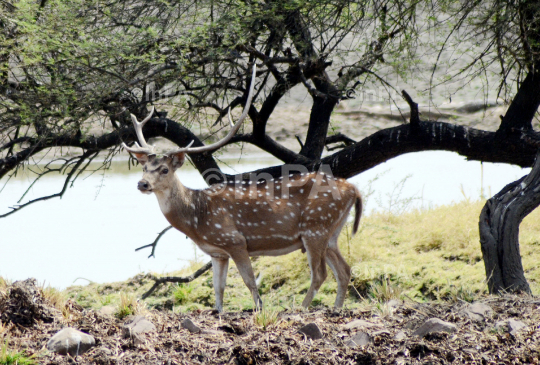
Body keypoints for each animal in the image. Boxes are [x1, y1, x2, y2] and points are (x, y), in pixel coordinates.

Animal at [123, 69, 362, 310]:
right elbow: (218, 289)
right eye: (144, 167)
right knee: (344, 270)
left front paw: (259, 309)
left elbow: (250, 281)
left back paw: (301, 308)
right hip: (330, 231)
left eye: (164, 169)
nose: (142, 184)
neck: (197, 218)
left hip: (315, 226)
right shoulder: (217, 253)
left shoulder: (234, 240)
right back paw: (336, 309)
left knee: (320, 274)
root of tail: (353, 188)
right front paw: (219, 311)